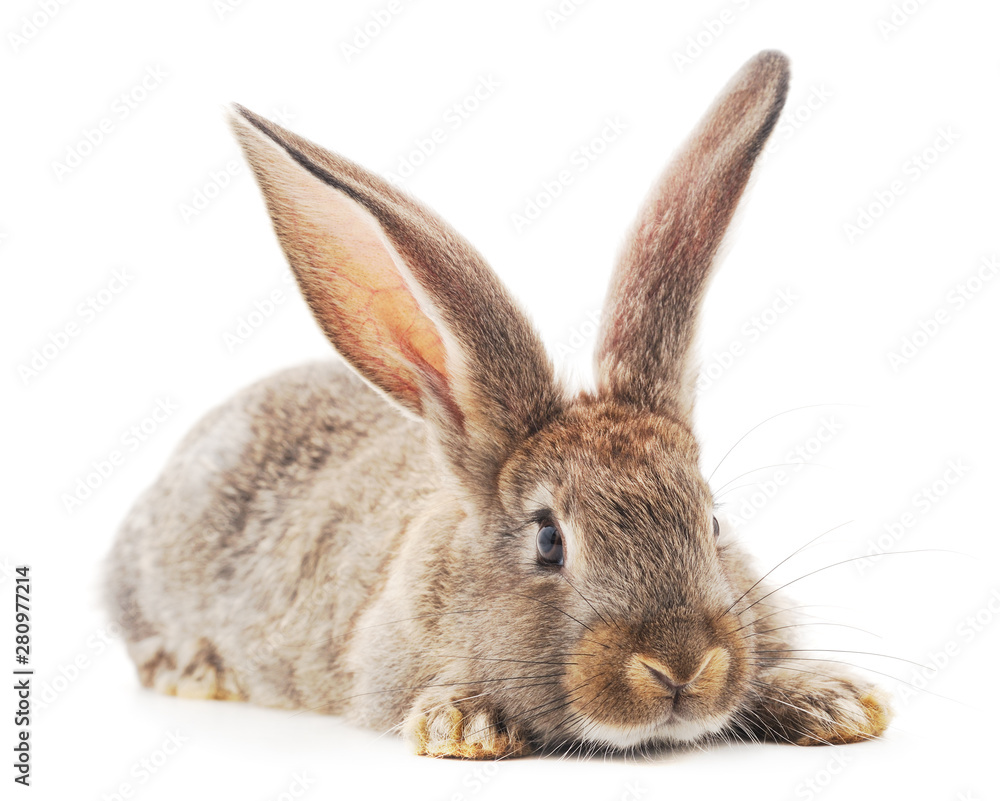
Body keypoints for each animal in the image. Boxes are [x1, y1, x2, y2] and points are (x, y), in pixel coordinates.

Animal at [103, 50, 891, 758]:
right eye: (548, 540)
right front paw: (465, 724)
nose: (681, 667)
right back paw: (196, 670)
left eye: (714, 522)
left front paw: (834, 700)